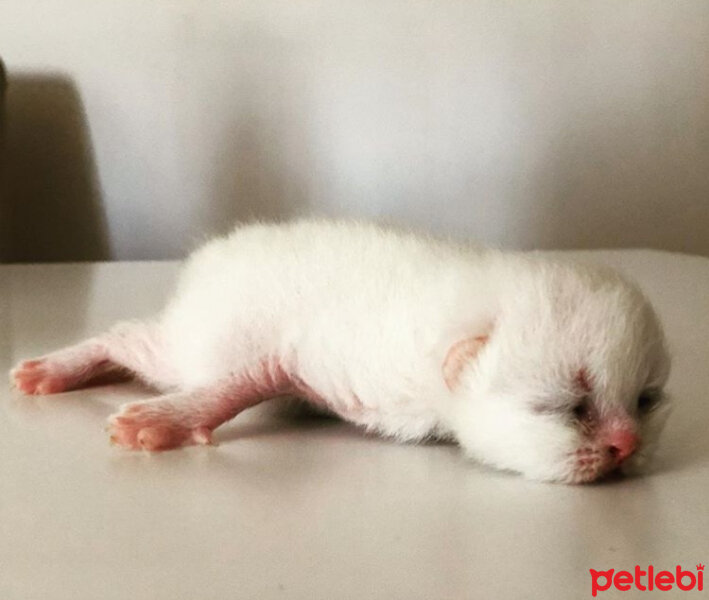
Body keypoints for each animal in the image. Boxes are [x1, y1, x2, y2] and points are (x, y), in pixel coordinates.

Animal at [9, 220, 668, 482]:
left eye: (647, 400)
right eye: (566, 408)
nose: (626, 445)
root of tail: (209, 257)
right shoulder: (314, 355)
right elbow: (247, 379)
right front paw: (169, 419)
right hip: (197, 338)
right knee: (129, 338)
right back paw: (54, 369)